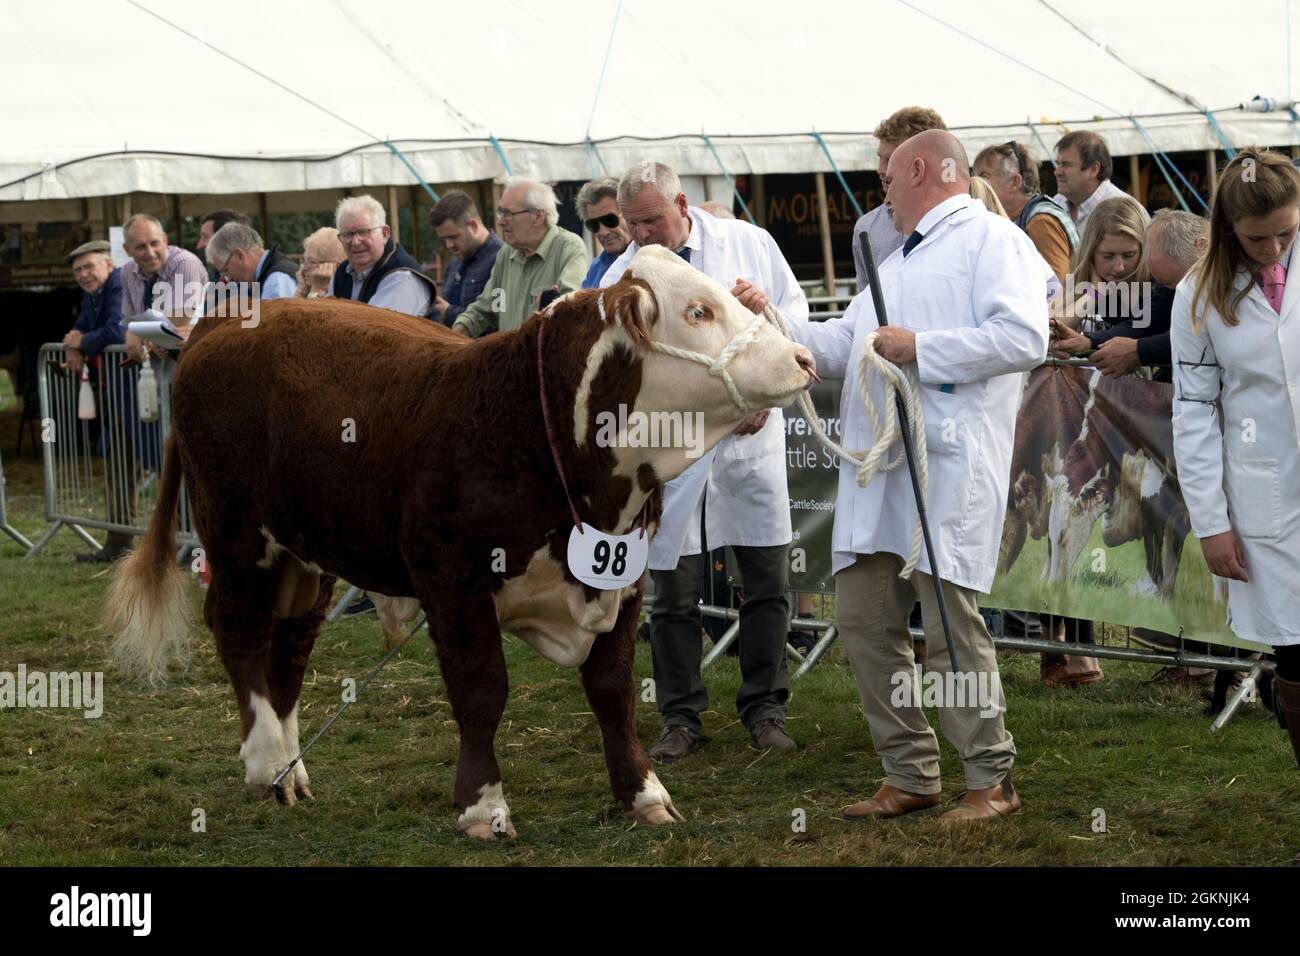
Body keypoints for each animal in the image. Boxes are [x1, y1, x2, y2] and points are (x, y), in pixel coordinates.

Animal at [106, 247, 811, 837]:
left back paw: (291, 768)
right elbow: (481, 692)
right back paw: (263, 768)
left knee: (291, 647)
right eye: (698, 310)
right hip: (236, 537)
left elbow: (612, 691)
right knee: (240, 633)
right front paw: (482, 806)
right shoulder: (452, 580)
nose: (803, 360)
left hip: (306, 554)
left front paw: (644, 794)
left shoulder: (624, 580)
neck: (533, 423)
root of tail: (226, 319)